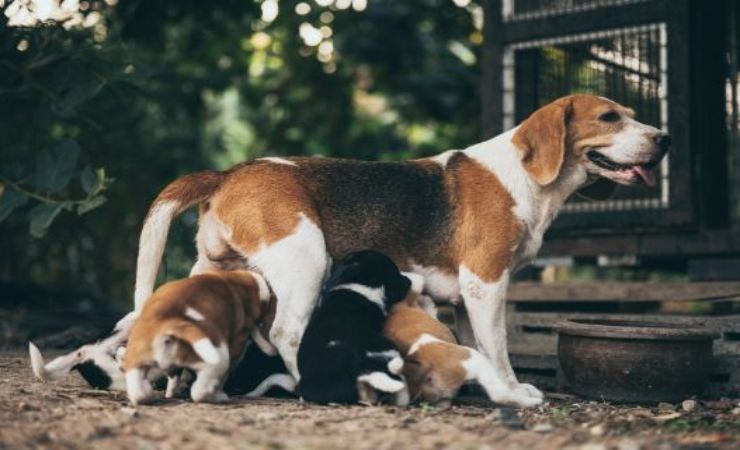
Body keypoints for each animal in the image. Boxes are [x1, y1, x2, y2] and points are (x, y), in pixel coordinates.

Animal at [121, 268, 272, 406]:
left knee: (139, 390)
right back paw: (218, 397)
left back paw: (148, 395)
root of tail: (171, 323)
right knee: (200, 390)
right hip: (216, 358)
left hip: (136, 362)